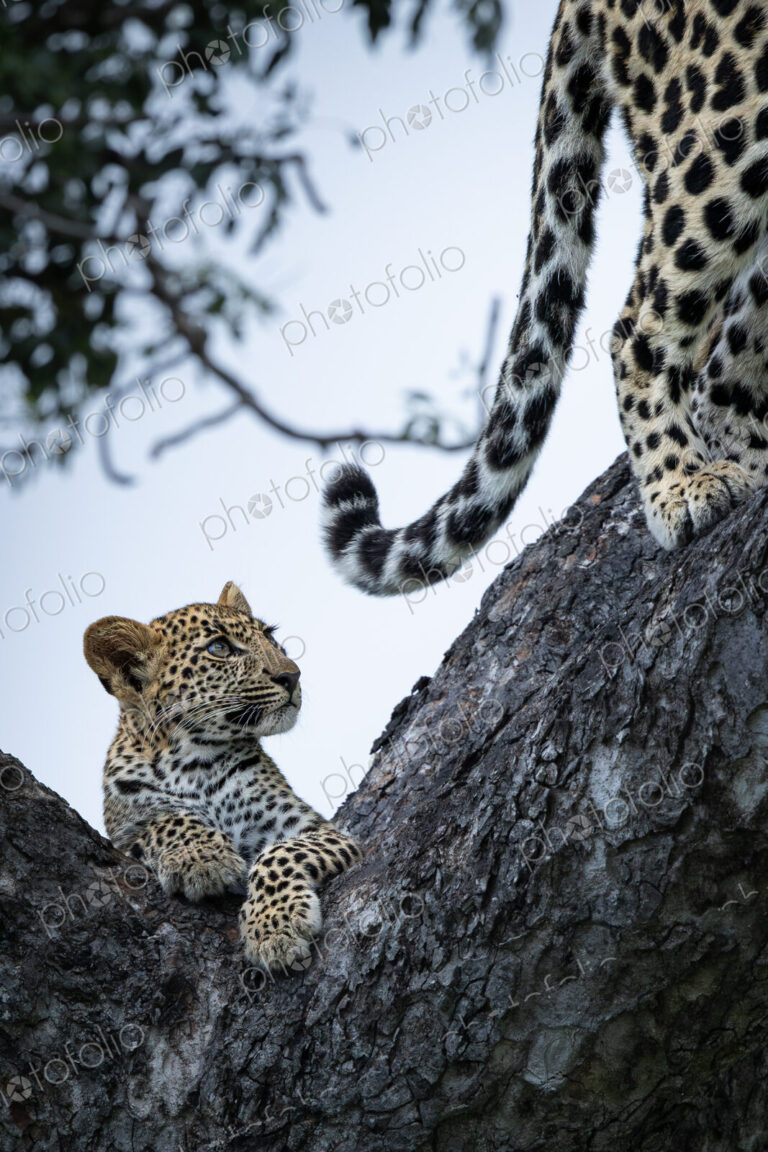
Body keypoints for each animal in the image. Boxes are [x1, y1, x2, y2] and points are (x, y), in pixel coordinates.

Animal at [83, 581, 361, 972]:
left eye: (270, 637)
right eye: (220, 648)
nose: (292, 676)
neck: (193, 763)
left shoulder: (315, 829)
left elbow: (278, 853)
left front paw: (274, 928)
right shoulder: (123, 836)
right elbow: (164, 820)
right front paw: (201, 857)